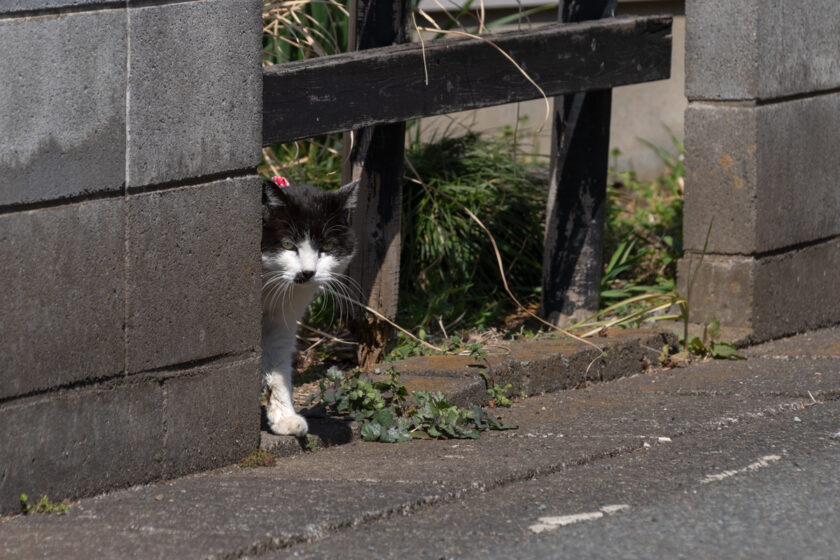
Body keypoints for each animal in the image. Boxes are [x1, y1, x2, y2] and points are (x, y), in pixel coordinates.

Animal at [260, 179, 356, 438]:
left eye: (328, 246)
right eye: (287, 244)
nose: (308, 272)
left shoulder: (281, 318)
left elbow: (277, 366)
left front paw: (284, 418)